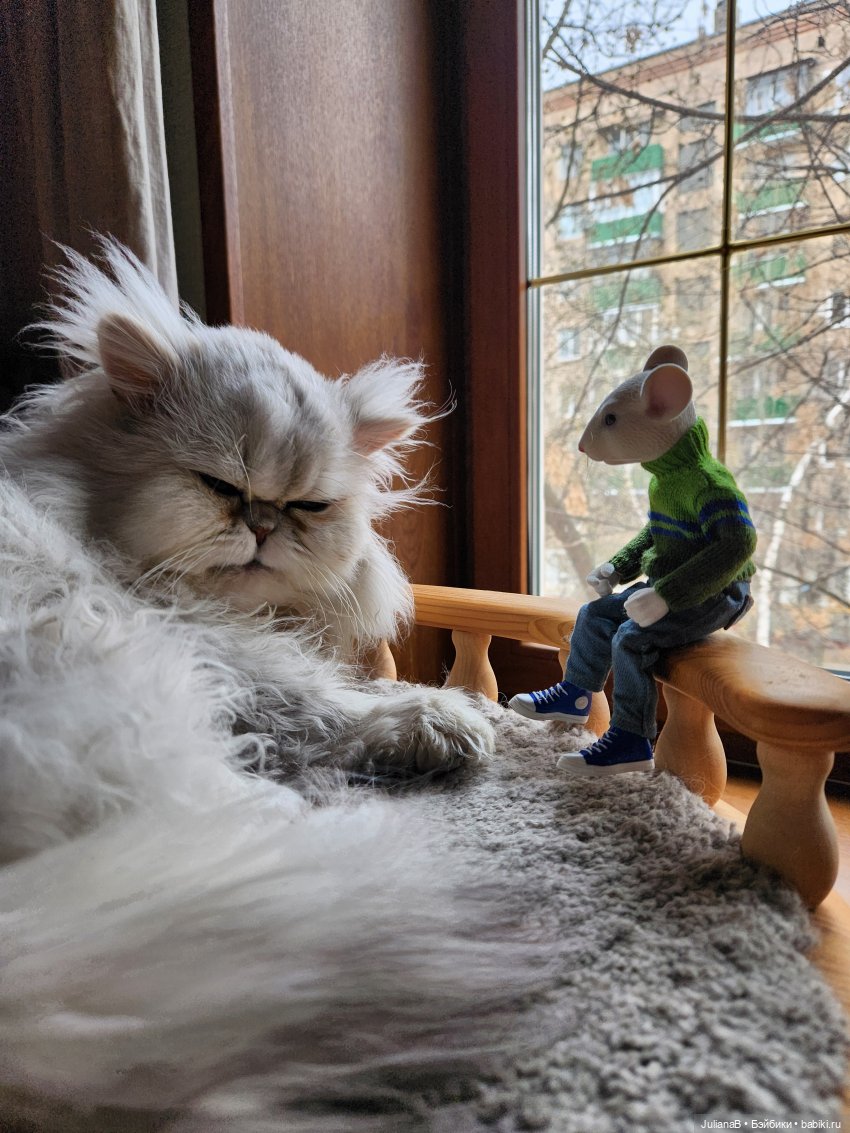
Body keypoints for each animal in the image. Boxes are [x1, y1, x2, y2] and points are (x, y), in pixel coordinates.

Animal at [0, 240, 520, 1131]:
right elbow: (325, 700)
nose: (264, 522)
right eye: (218, 485)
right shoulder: (207, 641)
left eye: (308, 504)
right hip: (114, 665)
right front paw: (446, 719)